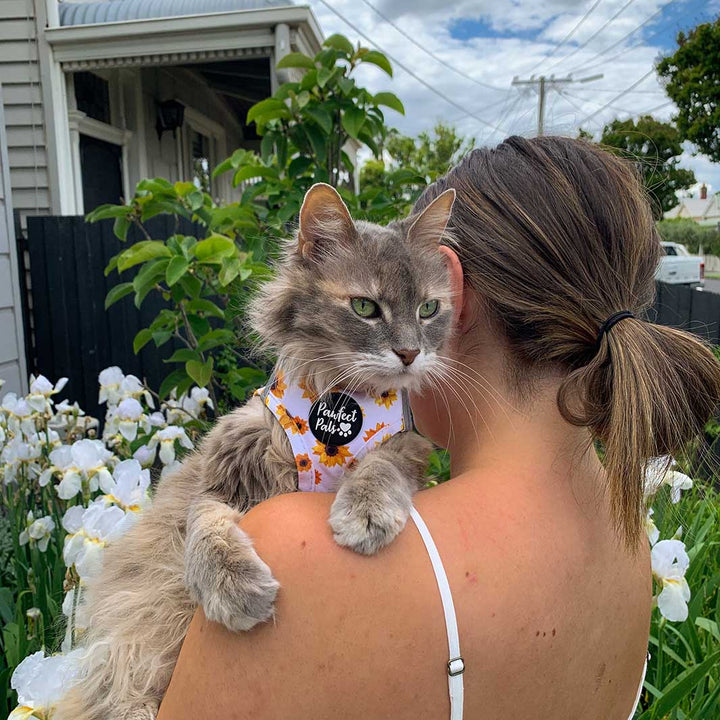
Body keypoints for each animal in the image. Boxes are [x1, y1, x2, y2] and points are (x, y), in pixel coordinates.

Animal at [54, 183, 456, 716]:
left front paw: (364, 512)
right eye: (365, 308)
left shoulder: (408, 447)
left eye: (428, 310)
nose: (411, 354)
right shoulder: (223, 474)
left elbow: (379, 467)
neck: (338, 403)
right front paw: (234, 588)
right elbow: (205, 530)